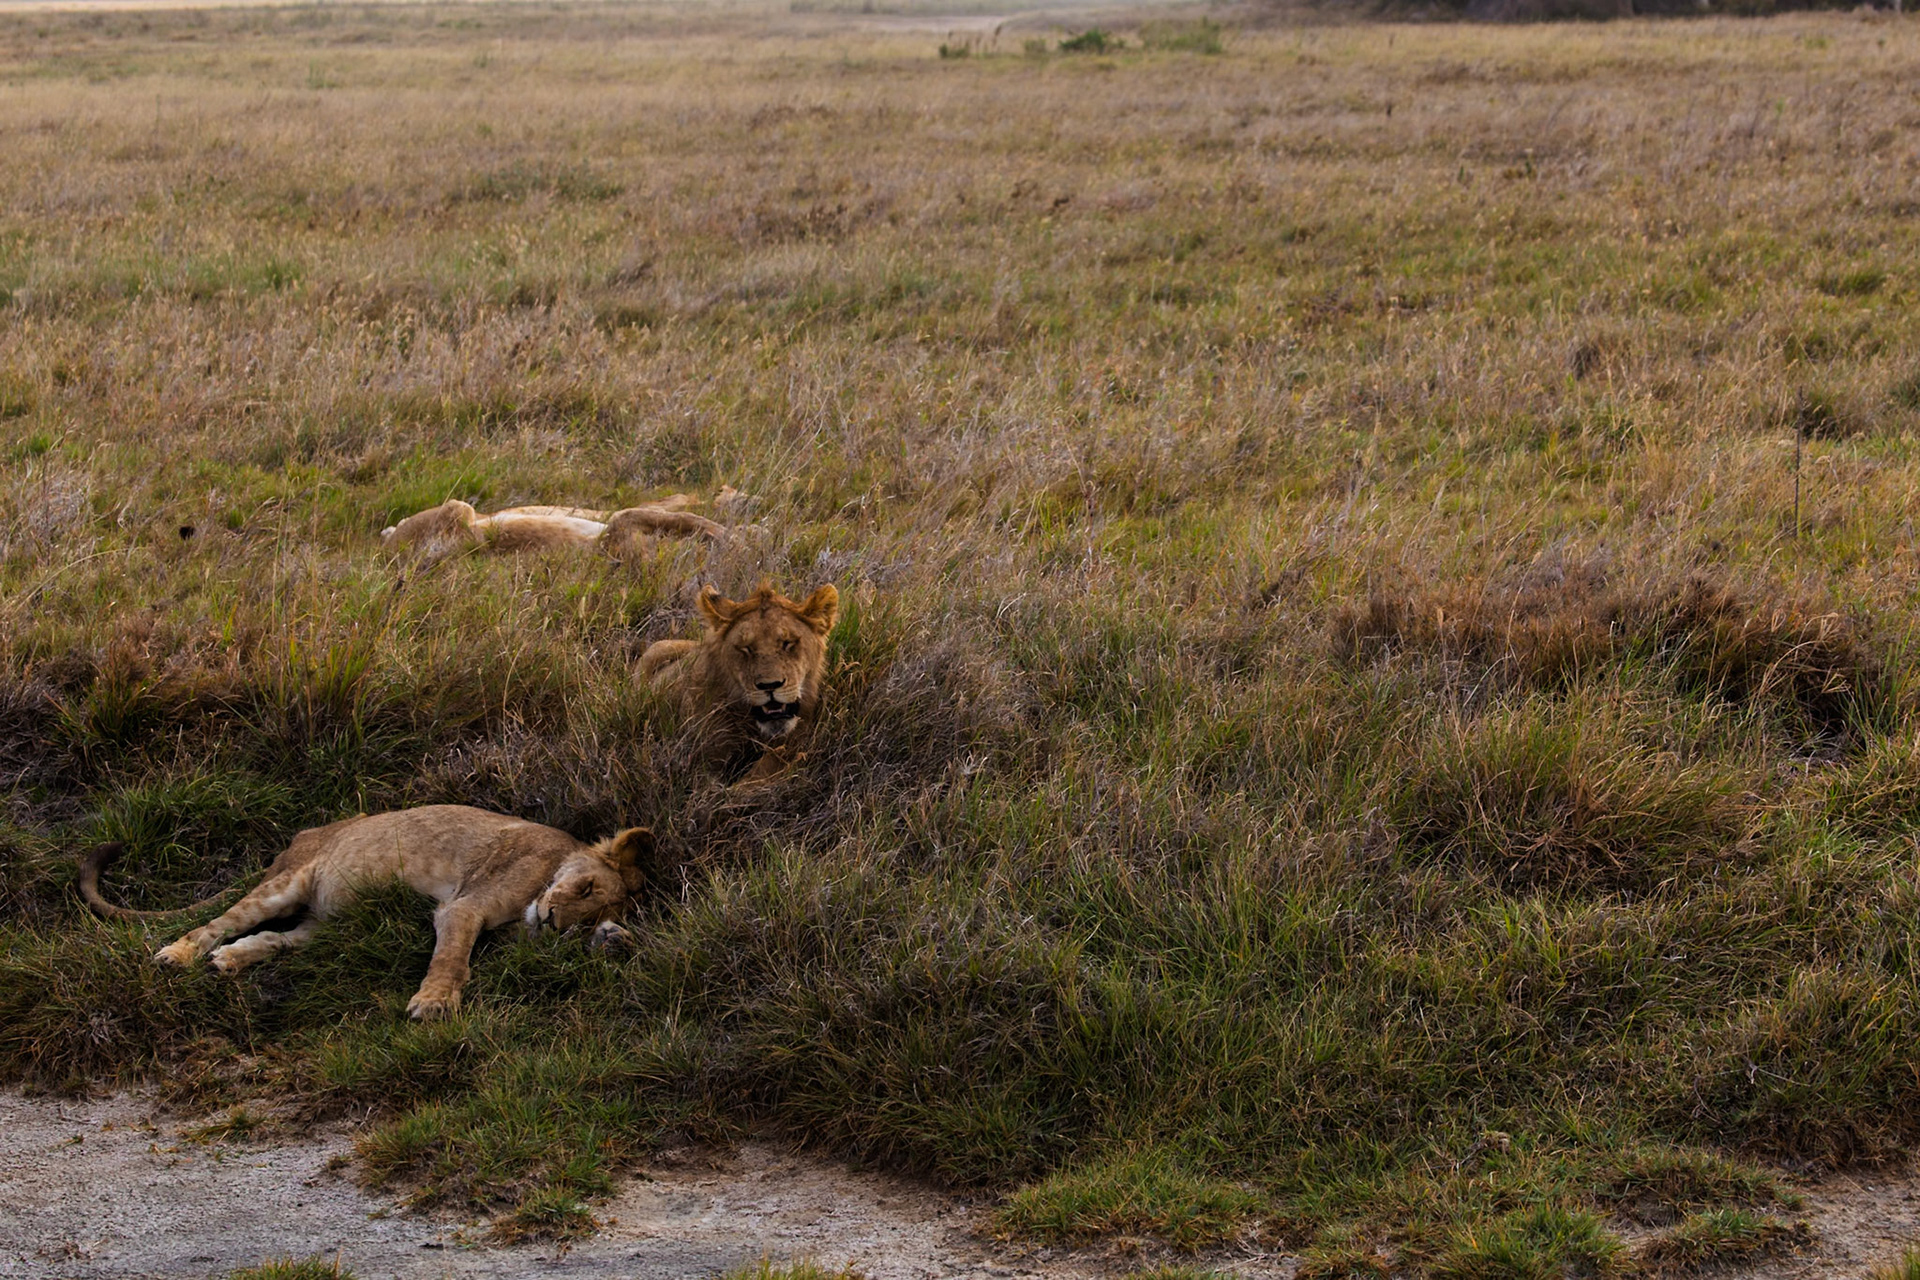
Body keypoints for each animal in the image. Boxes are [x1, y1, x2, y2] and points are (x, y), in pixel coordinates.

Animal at [79, 805, 652, 1020]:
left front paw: (615, 940)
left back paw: (228, 964)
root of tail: (301, 835)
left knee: (273, 940)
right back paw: (177, 956)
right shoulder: (463, 906)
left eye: (582, 921)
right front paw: (433, 1003)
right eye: (583, 885)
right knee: (216, 924)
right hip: (285, 884)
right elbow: (452, 959)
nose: (554, 921)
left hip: (322, 927)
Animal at [638, 581, 839, 786]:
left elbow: (766, 770)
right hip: (656, 650)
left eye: (787, 643)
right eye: (746, 648)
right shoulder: (703, 757)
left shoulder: (797, 740)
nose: (769, 685)